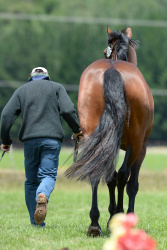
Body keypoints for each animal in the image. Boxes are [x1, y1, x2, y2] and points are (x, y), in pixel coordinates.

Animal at [65, 26, 154, 237]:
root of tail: (113, 70)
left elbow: (110, 177)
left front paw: (111, 216)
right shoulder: (142, 148)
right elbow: (130, 183)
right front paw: (120, 215)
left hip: (94, 138)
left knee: (97, 173)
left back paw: (94, 224)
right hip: (136, 144)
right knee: (124, 176)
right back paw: (117, 218)